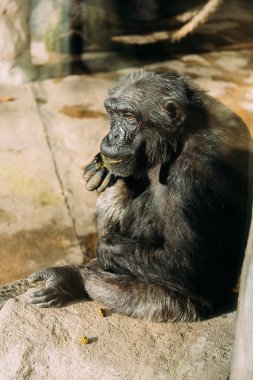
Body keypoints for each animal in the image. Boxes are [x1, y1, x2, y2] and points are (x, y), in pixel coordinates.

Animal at [26, 71, 252, 320]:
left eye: (130, 117)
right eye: (113, 114)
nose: (113, 136)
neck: (180, 138)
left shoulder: (195, 173)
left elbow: (187, 266)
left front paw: (102, 248)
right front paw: (101, 166)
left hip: (177, 306)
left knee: (114, 288)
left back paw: (75, 277)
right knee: (116, 189)